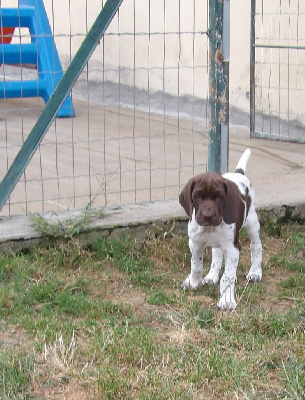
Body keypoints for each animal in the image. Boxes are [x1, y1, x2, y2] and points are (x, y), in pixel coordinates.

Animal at [178, 149, 262, 310]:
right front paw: (193, 282)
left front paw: (227, 300)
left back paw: (255, 272)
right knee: (216, 253)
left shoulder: (232, 248)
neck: (209, 228)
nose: (207, 215)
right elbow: (196, 266)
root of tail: (238, 173)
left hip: (252, 223)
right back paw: (212, 276)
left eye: (219, 197)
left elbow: (228, 277)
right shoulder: (195, 243)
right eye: (197, 196)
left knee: (256, 246)